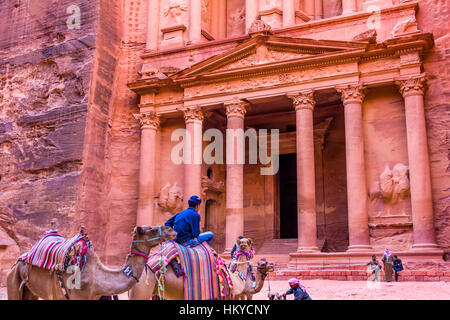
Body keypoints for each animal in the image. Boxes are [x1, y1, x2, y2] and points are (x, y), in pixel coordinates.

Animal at [7, 225, 177, 300]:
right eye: (151, 229)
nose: (171, 229)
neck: (97, 280)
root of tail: (18, 261)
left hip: (30, 290)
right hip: (13, 279)